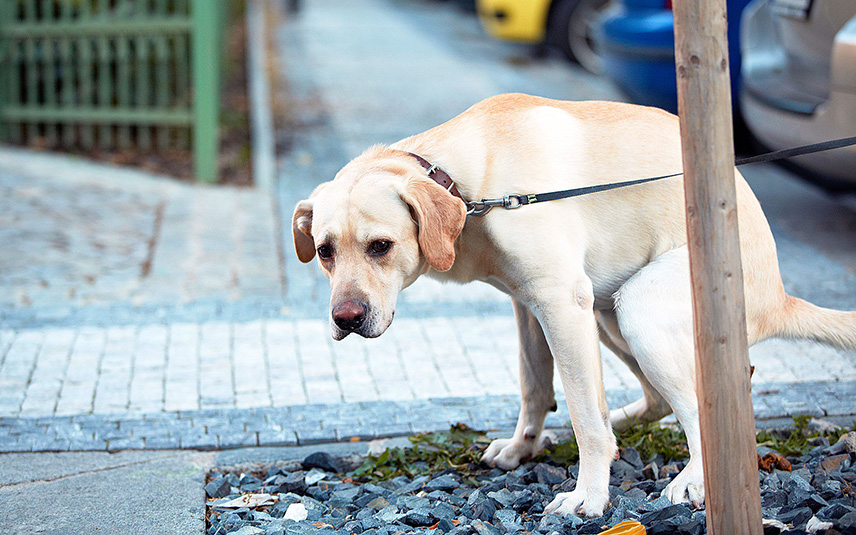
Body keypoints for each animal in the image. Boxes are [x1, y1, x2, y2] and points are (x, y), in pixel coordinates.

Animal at [290, 93, 856, 520]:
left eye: (381, 246)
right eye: (324, 251)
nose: (345, 319)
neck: (470, 187)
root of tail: (780, 296)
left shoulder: (560, 302)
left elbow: (584, 415)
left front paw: (589, 494)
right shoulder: (529, 306)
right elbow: (535, 386)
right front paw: (524, 446)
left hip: (639, 308)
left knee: (701, 406)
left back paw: (692, 478)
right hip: (608, 315)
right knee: (674, 394)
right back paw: (626, 422)